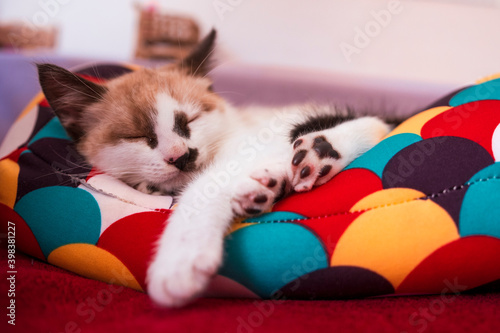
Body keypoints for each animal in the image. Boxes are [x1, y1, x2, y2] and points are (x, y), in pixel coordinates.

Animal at [37, 29, 392, 304]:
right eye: (139, 136)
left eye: (189, 120)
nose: (181, 156)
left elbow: (204, 189)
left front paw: (179, 262)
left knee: (377, 124)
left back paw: (317, 155)